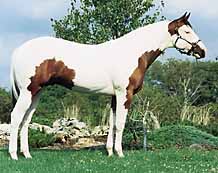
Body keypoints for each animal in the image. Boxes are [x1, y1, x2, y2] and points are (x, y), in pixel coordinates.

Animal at [8, 12, 206, 160]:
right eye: (187, 32)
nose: (202, 51)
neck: (132, 52)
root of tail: (18, 50)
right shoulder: (125, 94)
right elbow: (120, 124)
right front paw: (120, 153)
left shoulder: (114, 96)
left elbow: (111, 123)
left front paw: (110, 152)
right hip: (28, 92)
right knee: (16, 118)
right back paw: (14, 155)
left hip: (36, 93)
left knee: (26, 121)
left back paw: (26, 155)